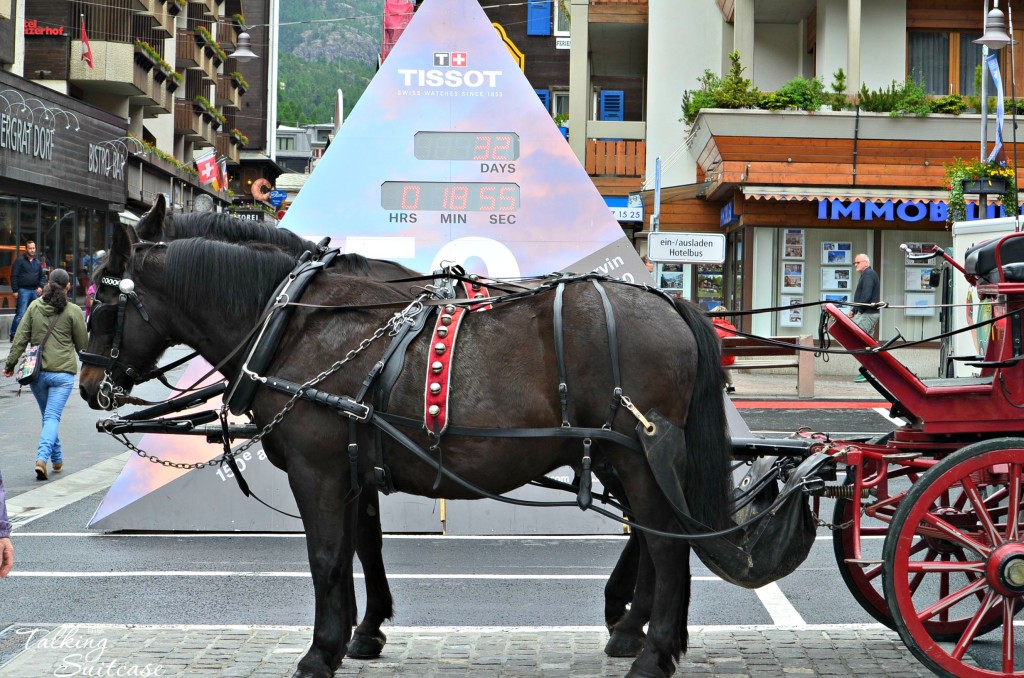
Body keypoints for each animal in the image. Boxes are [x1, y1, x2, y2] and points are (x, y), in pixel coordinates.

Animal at [83, 224, 733, 678]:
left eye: (104, 306)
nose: (90, 386)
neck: (295, 322)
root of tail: (673, 303)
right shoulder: (354, 464)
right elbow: (361, 546)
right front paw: (361, 633)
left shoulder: (318, 469)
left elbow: (326, 555)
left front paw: (321, 651)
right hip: (627, 461)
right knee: (655, 541)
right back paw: (639, 634)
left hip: (638, 458)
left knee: (666, 547)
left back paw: (652, 652)